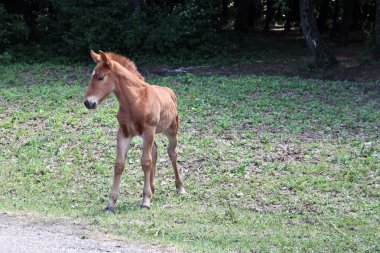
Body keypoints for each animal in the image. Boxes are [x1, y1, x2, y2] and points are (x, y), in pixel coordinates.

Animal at [83, 50, 186, 211]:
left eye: (100, 77)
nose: (88, 102)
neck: (134, 101)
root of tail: (170, 92)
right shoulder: (123, 133)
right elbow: (119, 164)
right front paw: (111, 203)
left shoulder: (148, 130)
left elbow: (145, 162)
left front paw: (145, 201)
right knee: (155, 151)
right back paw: (153, 188)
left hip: (171, 130)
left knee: (172, 153)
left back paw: (180, 188)